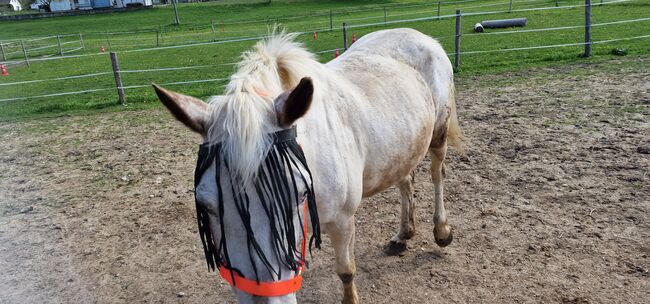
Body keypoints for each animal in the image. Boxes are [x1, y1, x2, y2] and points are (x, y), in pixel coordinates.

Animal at [153, 27, 460, 302]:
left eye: (299, 193)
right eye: (205, 206)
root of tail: (420, 36)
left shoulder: (343, 221)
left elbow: (346, 271)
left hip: (438, 135)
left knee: (437, 175)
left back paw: (441, 231)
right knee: (405, 181)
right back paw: (403, 235)